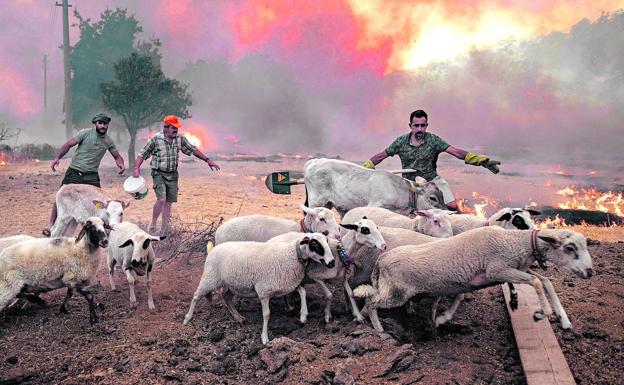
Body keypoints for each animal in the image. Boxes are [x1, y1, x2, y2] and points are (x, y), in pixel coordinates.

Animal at [182, 232, 334, 344]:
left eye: (326, 242)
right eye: (315, 244)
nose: (332, 263)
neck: (292, 255)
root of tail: (213, 248)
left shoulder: (285, 283)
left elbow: (302, 291)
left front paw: (303, 316)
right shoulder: (264, 291)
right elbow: (266, 315)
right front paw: (264, 338)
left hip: (233, 284)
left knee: (226, 297)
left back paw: (238, 318)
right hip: (210, 278)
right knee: (196, 296)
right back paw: (187, 318)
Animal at [356, 226, 596, 332]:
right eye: (570, 248)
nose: (590, 272)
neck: (514, 243)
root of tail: (382, 259)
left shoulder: (508, 270)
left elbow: (545, 281)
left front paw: (563, 319)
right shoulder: (497, 270)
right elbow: (537, 282)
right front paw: (541, 313)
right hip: (396, 292)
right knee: (371, 301)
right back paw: (378, 329)